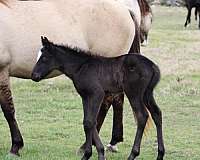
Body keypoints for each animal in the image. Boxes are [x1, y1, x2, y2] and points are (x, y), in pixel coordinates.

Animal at [31, 36, 166, 160]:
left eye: (44, 58)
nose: (34, 76)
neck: (80, 67)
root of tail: (153, 66)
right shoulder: (85, 96)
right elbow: (89, 122)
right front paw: (94, 153)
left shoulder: (97, 94)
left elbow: (90, 121)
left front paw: (92, 154)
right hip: (147, 94)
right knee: (157, 113)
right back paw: (160, 154)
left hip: (134, 93)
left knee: (142, 116)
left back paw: (133, 154)